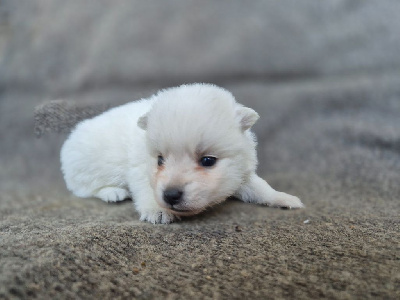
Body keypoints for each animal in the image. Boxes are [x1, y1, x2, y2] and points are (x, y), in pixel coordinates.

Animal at [60, 83, 304, 224]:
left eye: (207, 161)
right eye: (160, 159)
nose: (171, 195)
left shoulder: (241, 172)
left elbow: (260, 187)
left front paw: (283, 198)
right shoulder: (139, 169)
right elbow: (146, 189)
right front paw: (157, 210)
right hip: (85, 168)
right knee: (85, 189)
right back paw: (113, 192)